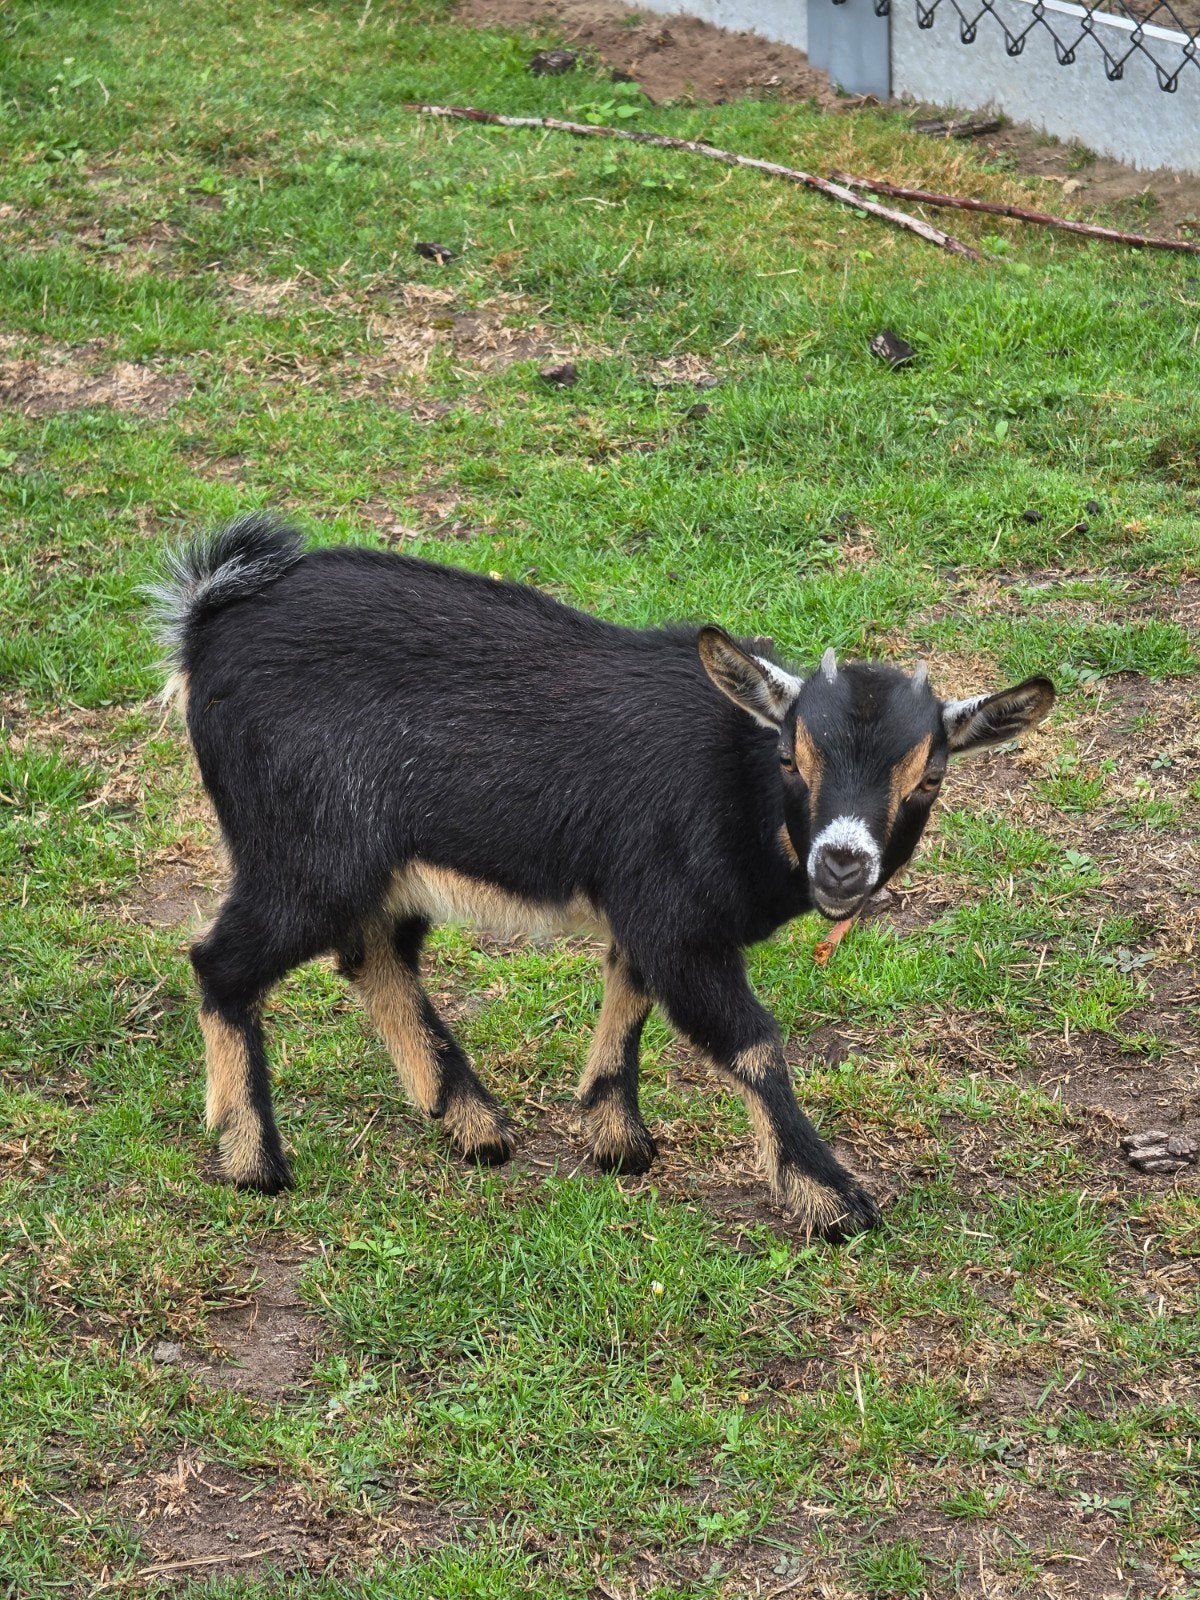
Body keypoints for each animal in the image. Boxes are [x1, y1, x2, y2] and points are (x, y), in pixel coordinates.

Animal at [154, 514, 1055, 1240]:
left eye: (929, 777)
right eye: (792, 757)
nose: (842, 862)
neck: (734, 784)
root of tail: (206, 620)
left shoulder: (649, 909)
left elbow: (629, 996)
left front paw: (615, 1137)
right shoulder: (677, 920)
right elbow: (752, 1041)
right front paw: (830, 1199)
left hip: (369, 863)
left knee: (375, 954)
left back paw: (470, 1121)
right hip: (303, 855)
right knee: (223, 963)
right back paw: (254, 1160)